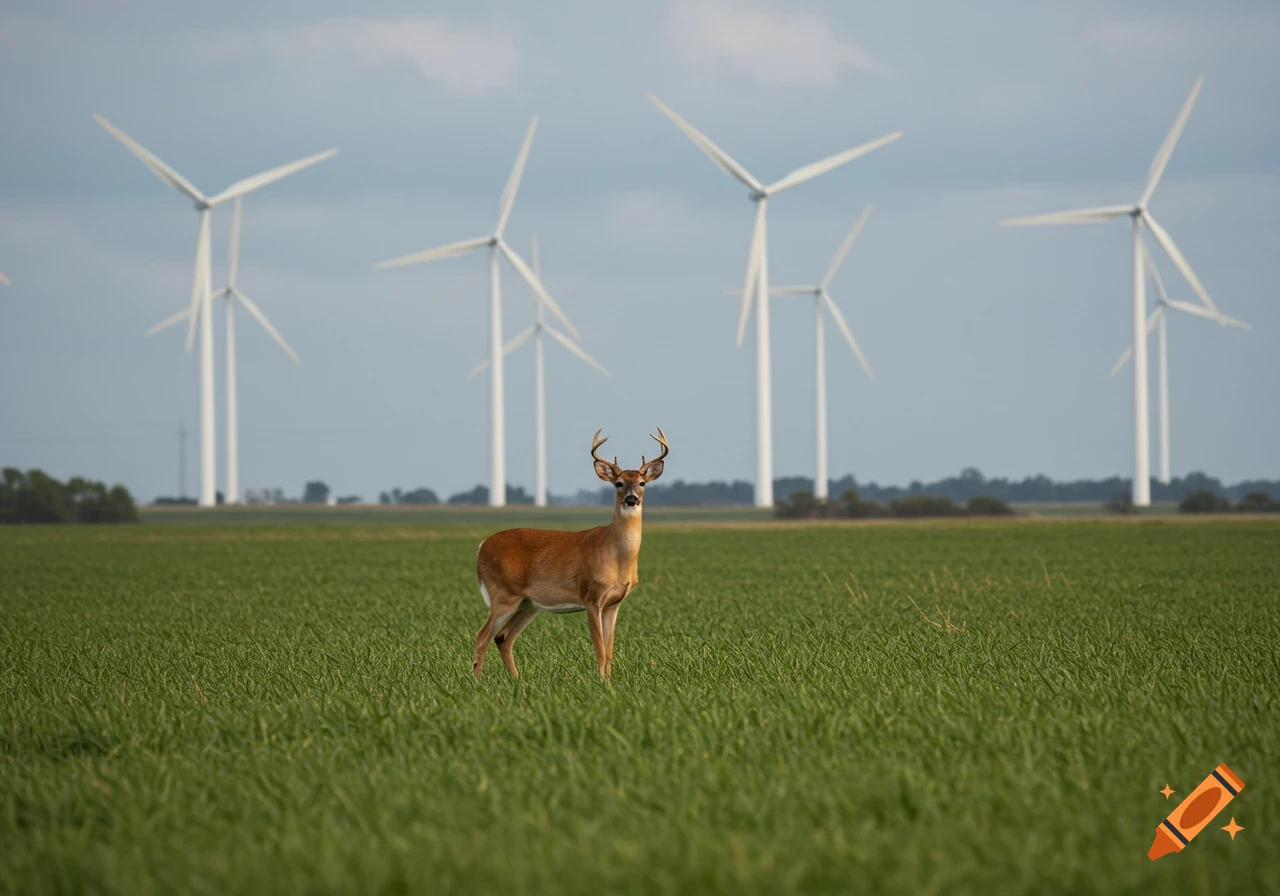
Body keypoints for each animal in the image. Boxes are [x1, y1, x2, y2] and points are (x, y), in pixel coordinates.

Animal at [473, 427, 668, 679]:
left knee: (502, 637)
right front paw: (601, 682)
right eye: (619, 483)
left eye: (642, 483)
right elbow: (600, 650)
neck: (617, 556)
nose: (631, 499)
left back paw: (516, 680)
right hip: (503, 594)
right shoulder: (591, 596)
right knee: (482, 636)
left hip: (527, 604)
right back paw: (478, 681)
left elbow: (609, 650)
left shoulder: (614, 603)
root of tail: (481, 546)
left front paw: (610, 681)